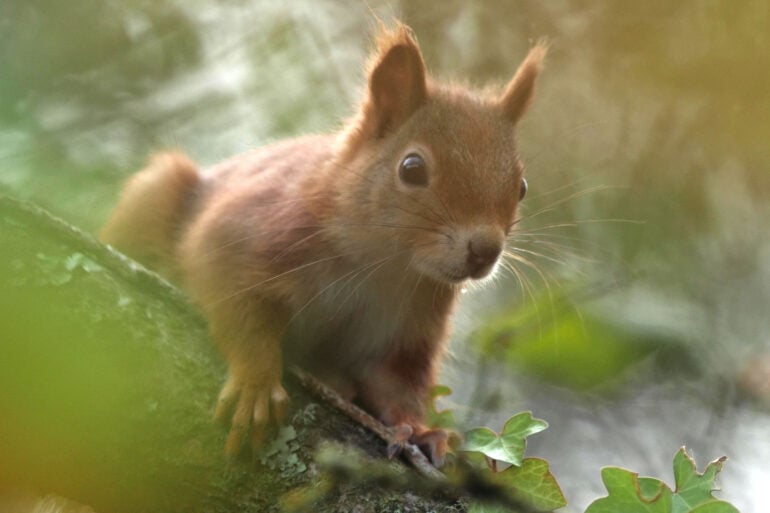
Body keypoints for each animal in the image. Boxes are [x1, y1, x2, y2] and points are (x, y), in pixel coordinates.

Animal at [101, 23, 546, 466]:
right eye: (412, 168)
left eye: (522, 187)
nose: (485, 251)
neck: (382, 263)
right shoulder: (245, 234)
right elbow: (240, 308)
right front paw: (255, 383)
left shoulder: (408, 328)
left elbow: (397, 386)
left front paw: (422, 430)